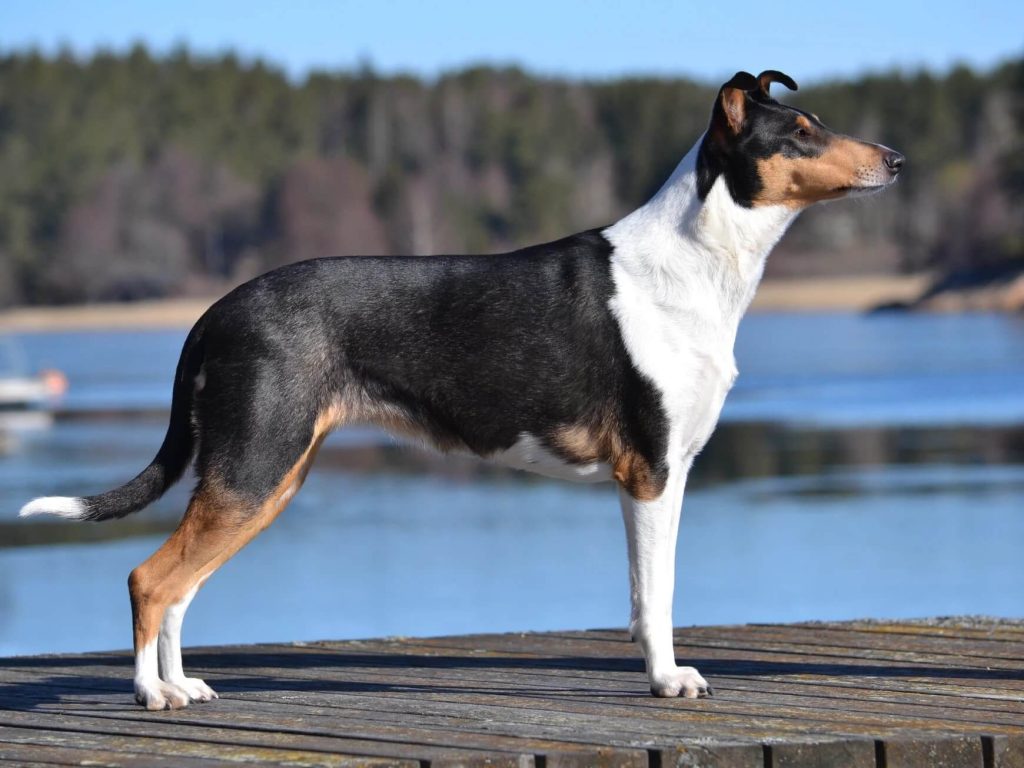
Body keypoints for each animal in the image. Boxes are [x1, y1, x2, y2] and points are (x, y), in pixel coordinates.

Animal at [21, 70, 903, 710]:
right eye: (801, 130)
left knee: (182, 585)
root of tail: (214, 311)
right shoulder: (651, 473)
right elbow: (658, 594)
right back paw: (150, 695)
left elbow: (642, 592)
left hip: (262, 476)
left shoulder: (662, 476)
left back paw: (181, 685)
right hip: (254, 466)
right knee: (150, 579)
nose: (895, 159)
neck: (696, 262)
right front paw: (669, 681)